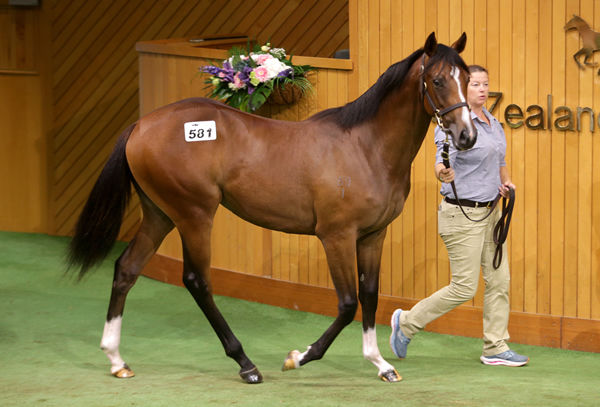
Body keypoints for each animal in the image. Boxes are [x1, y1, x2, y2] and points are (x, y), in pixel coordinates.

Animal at [68, 32, 476, 386]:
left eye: (468, 78)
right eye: (438, 80)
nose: (466, 136)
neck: (365, 147)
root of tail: (140, 126)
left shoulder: (373, 235)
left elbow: (370, 296)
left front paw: (380, 364)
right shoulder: (336, 236)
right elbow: (347, 303)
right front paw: (299, 356)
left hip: (160, 214)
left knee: (127, 269)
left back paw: (117, 360)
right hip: (193, 215)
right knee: (197, 280)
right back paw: (245, 364)